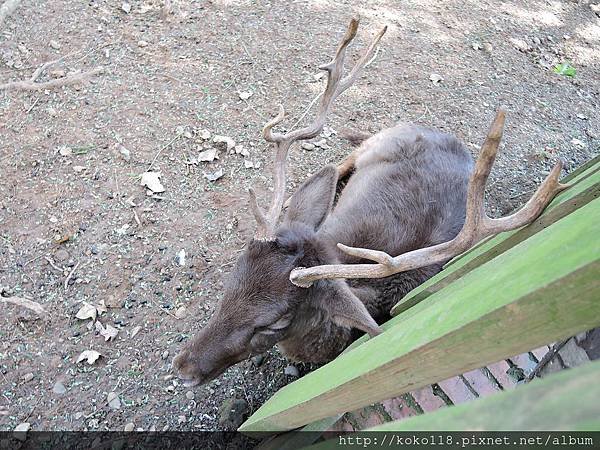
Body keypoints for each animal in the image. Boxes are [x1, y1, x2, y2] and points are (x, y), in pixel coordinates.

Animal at [172, 15, 568, 384]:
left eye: (273, 323)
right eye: (230, 282)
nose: (183, 367)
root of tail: (441, 133)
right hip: (373, 143)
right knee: (339, 162)